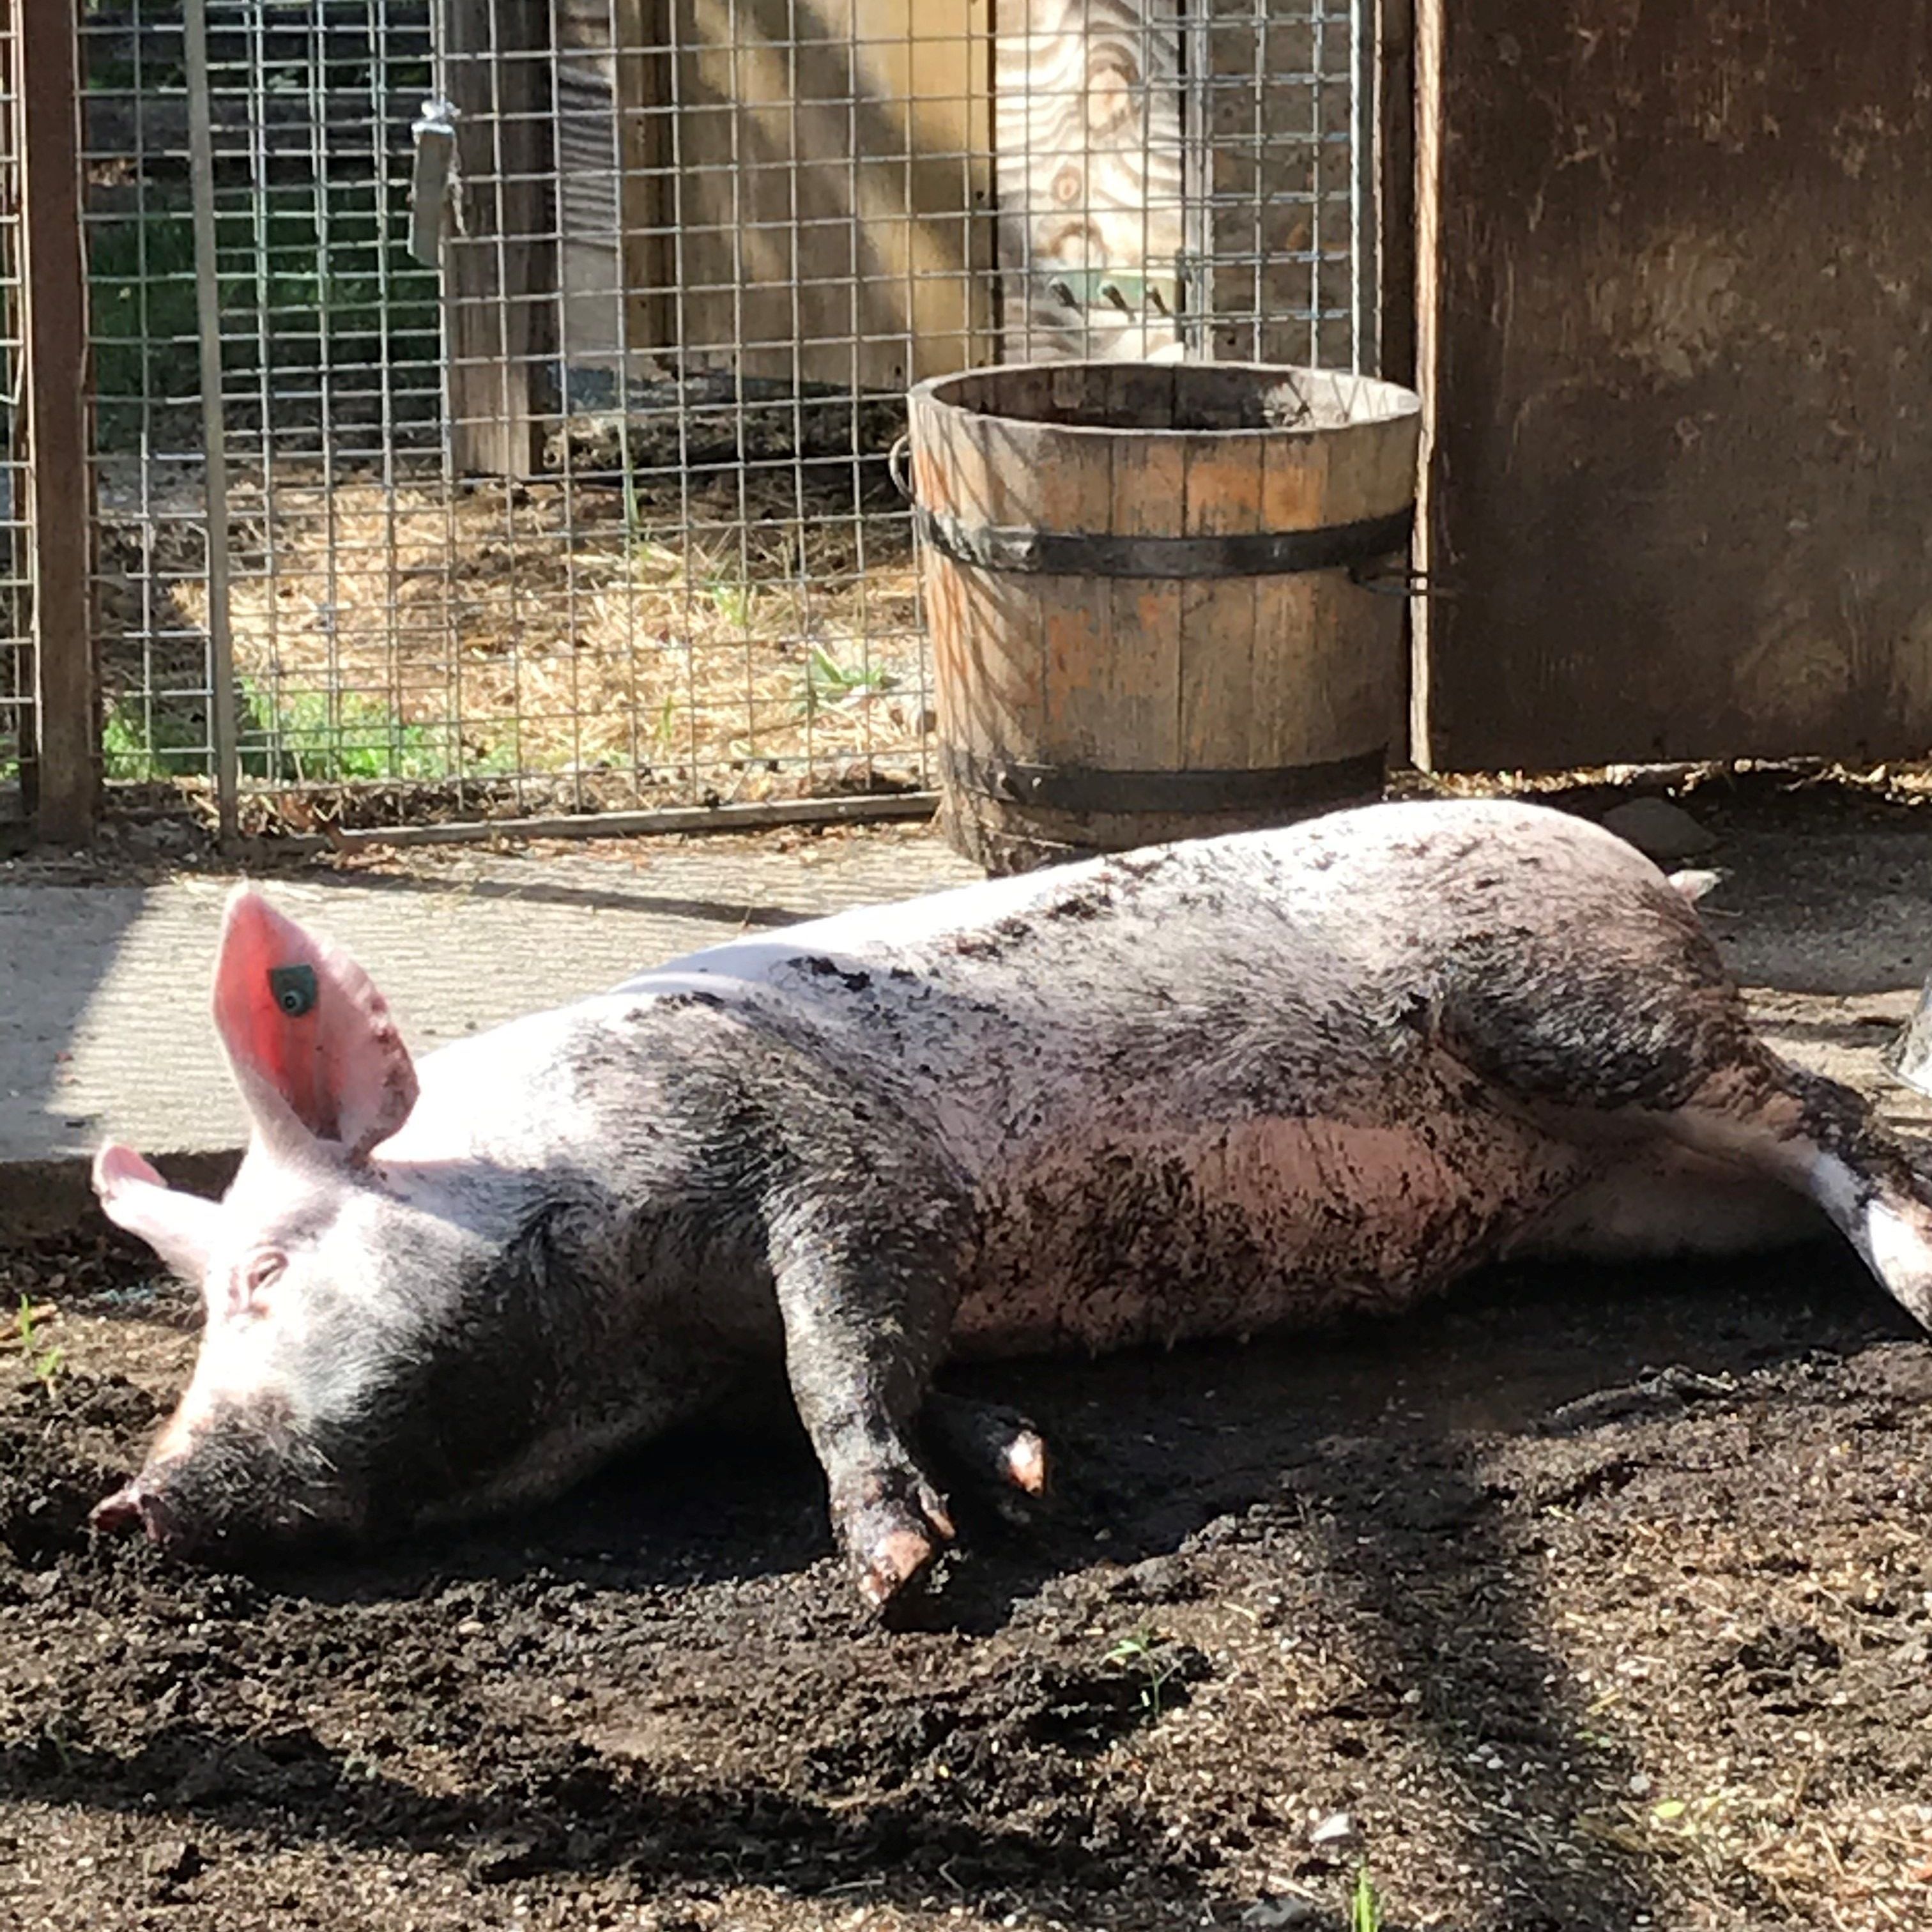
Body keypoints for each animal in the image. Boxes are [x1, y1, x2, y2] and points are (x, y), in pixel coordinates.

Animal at [88, 799, 1932, 1610]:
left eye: (260, 1275)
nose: (131, 1504)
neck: (643, 1329)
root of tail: (1643, 864)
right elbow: (905, 1377)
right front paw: (1032, 1466)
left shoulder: (835, 1168)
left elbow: (842, 1354)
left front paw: (901, 1574)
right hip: (1632, 1191)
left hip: (1580, 1006)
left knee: (1832, 1109)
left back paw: (1920, 1283)